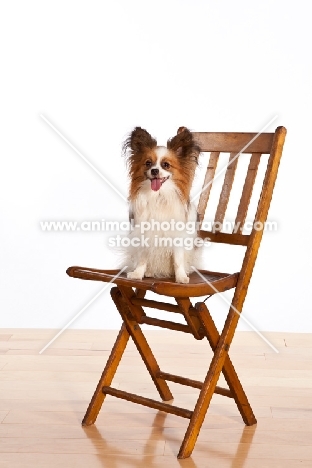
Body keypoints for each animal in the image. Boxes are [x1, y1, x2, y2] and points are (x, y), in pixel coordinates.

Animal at [123, 126, 201, 284]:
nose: (154, 170)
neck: (159, 196)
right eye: (148, 163)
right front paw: (138, 274)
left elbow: (178, 260)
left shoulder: (177, 235)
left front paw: (180, 277)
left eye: (166, 165)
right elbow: (143, 258)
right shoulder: (144, 233)